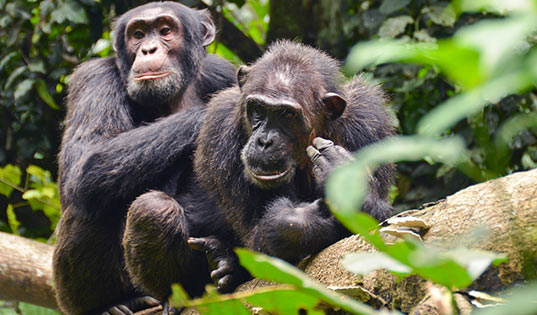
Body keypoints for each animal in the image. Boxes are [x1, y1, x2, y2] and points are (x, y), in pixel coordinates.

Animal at [53, 3, 236, 315]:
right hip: (68, 298)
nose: (148, 49)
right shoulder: (94, 79)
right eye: (137, 34)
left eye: (165, 30)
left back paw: (225, 264)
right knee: (93, 201)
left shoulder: (222, 70)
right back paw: (112, 304)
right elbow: (85, 160)